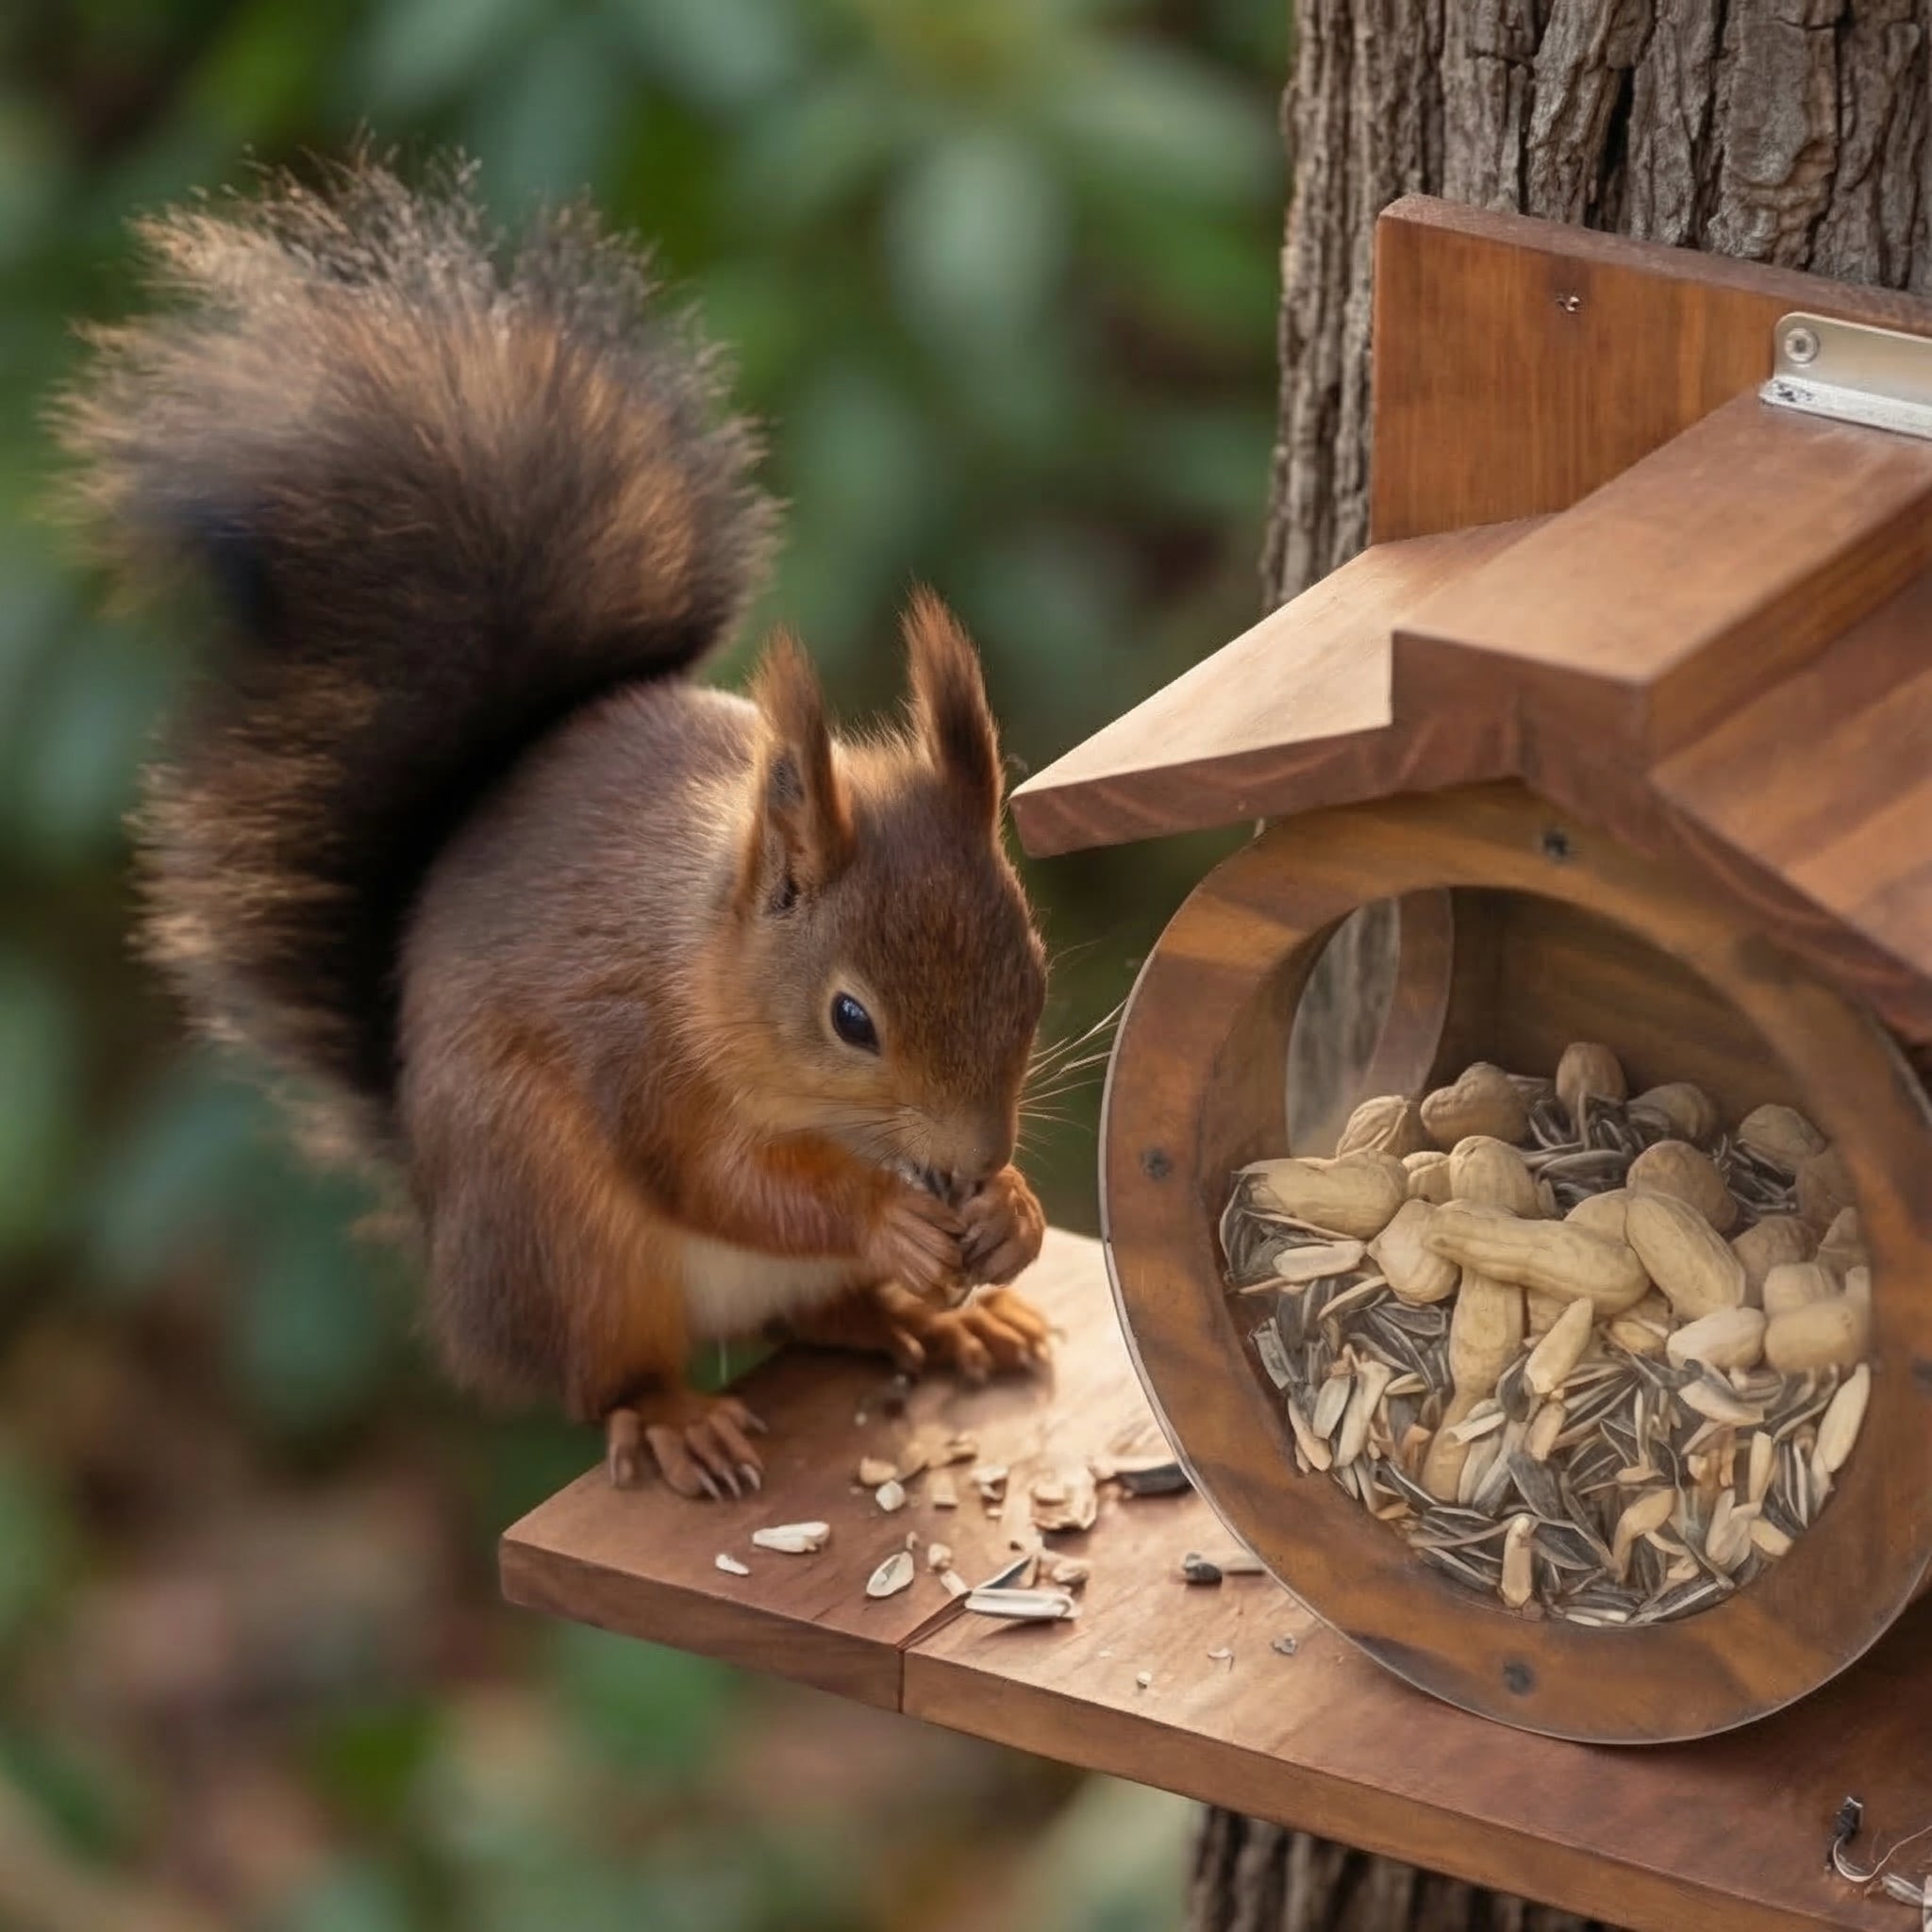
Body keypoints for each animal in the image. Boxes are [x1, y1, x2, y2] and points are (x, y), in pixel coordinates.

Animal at [55, 158, 1052, 1499]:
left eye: (1031, 973)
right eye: (851, 1019)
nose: (966, 1160)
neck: (710, 951)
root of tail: (443, 1237)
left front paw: (1012, 1211)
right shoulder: (632, 1047)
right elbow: (716, 1176)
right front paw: (887, 1214)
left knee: (809, 1316)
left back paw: (936, 1318)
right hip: (557, 1233)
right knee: (611, 1373)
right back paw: (680, 1413)